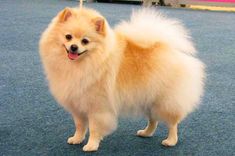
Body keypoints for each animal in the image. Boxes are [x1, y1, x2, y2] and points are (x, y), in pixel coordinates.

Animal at [38, 2, 204, 152]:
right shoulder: (78, 105)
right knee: (153, 120)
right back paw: (146, 133)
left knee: (172, 123)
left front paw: (91, 145)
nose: (73, 47)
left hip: (165, 101)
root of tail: (166, 47)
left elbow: (94, 128)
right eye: (68, 37)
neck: (83, 64)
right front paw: (77, 139)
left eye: (85, 41)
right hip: (148, 99)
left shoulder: (97, 107)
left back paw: (170, 141)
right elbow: (80, 126)